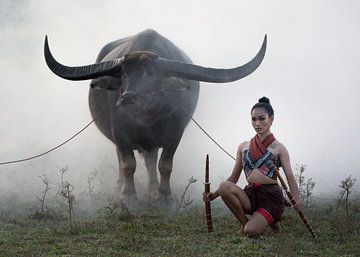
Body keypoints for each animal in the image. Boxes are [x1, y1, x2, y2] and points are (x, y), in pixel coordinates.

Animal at [43, 28, 266, 208]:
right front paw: (128, 197)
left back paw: (152, 188)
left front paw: (164, 197)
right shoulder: (121, 133)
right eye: (123, 74)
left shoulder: (174, 133)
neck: (147, 115)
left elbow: (165, 165)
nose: (127, 98)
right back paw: (120, 185)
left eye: (151, 73)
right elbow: (128, 164)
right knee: (124, 158)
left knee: (151, 162)